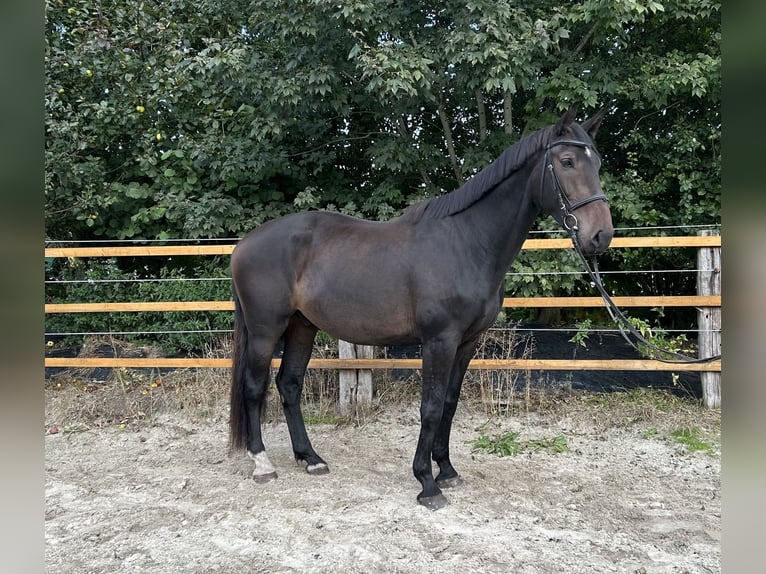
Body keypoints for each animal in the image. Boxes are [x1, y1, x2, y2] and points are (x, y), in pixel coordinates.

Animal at [228, 105, 614, 510]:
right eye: (567, 161)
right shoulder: (438, 341)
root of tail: (244, 244)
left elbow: (449, 402)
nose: (601, 235)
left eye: (597, 162)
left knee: (289, 385)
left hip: (303, 326)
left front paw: (447, 470)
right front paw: (427, 483)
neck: (468, 242)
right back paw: (262, 464)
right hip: (266, 329)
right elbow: (430, 406)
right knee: (254, 386)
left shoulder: (466, 343)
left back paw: (311, 458)